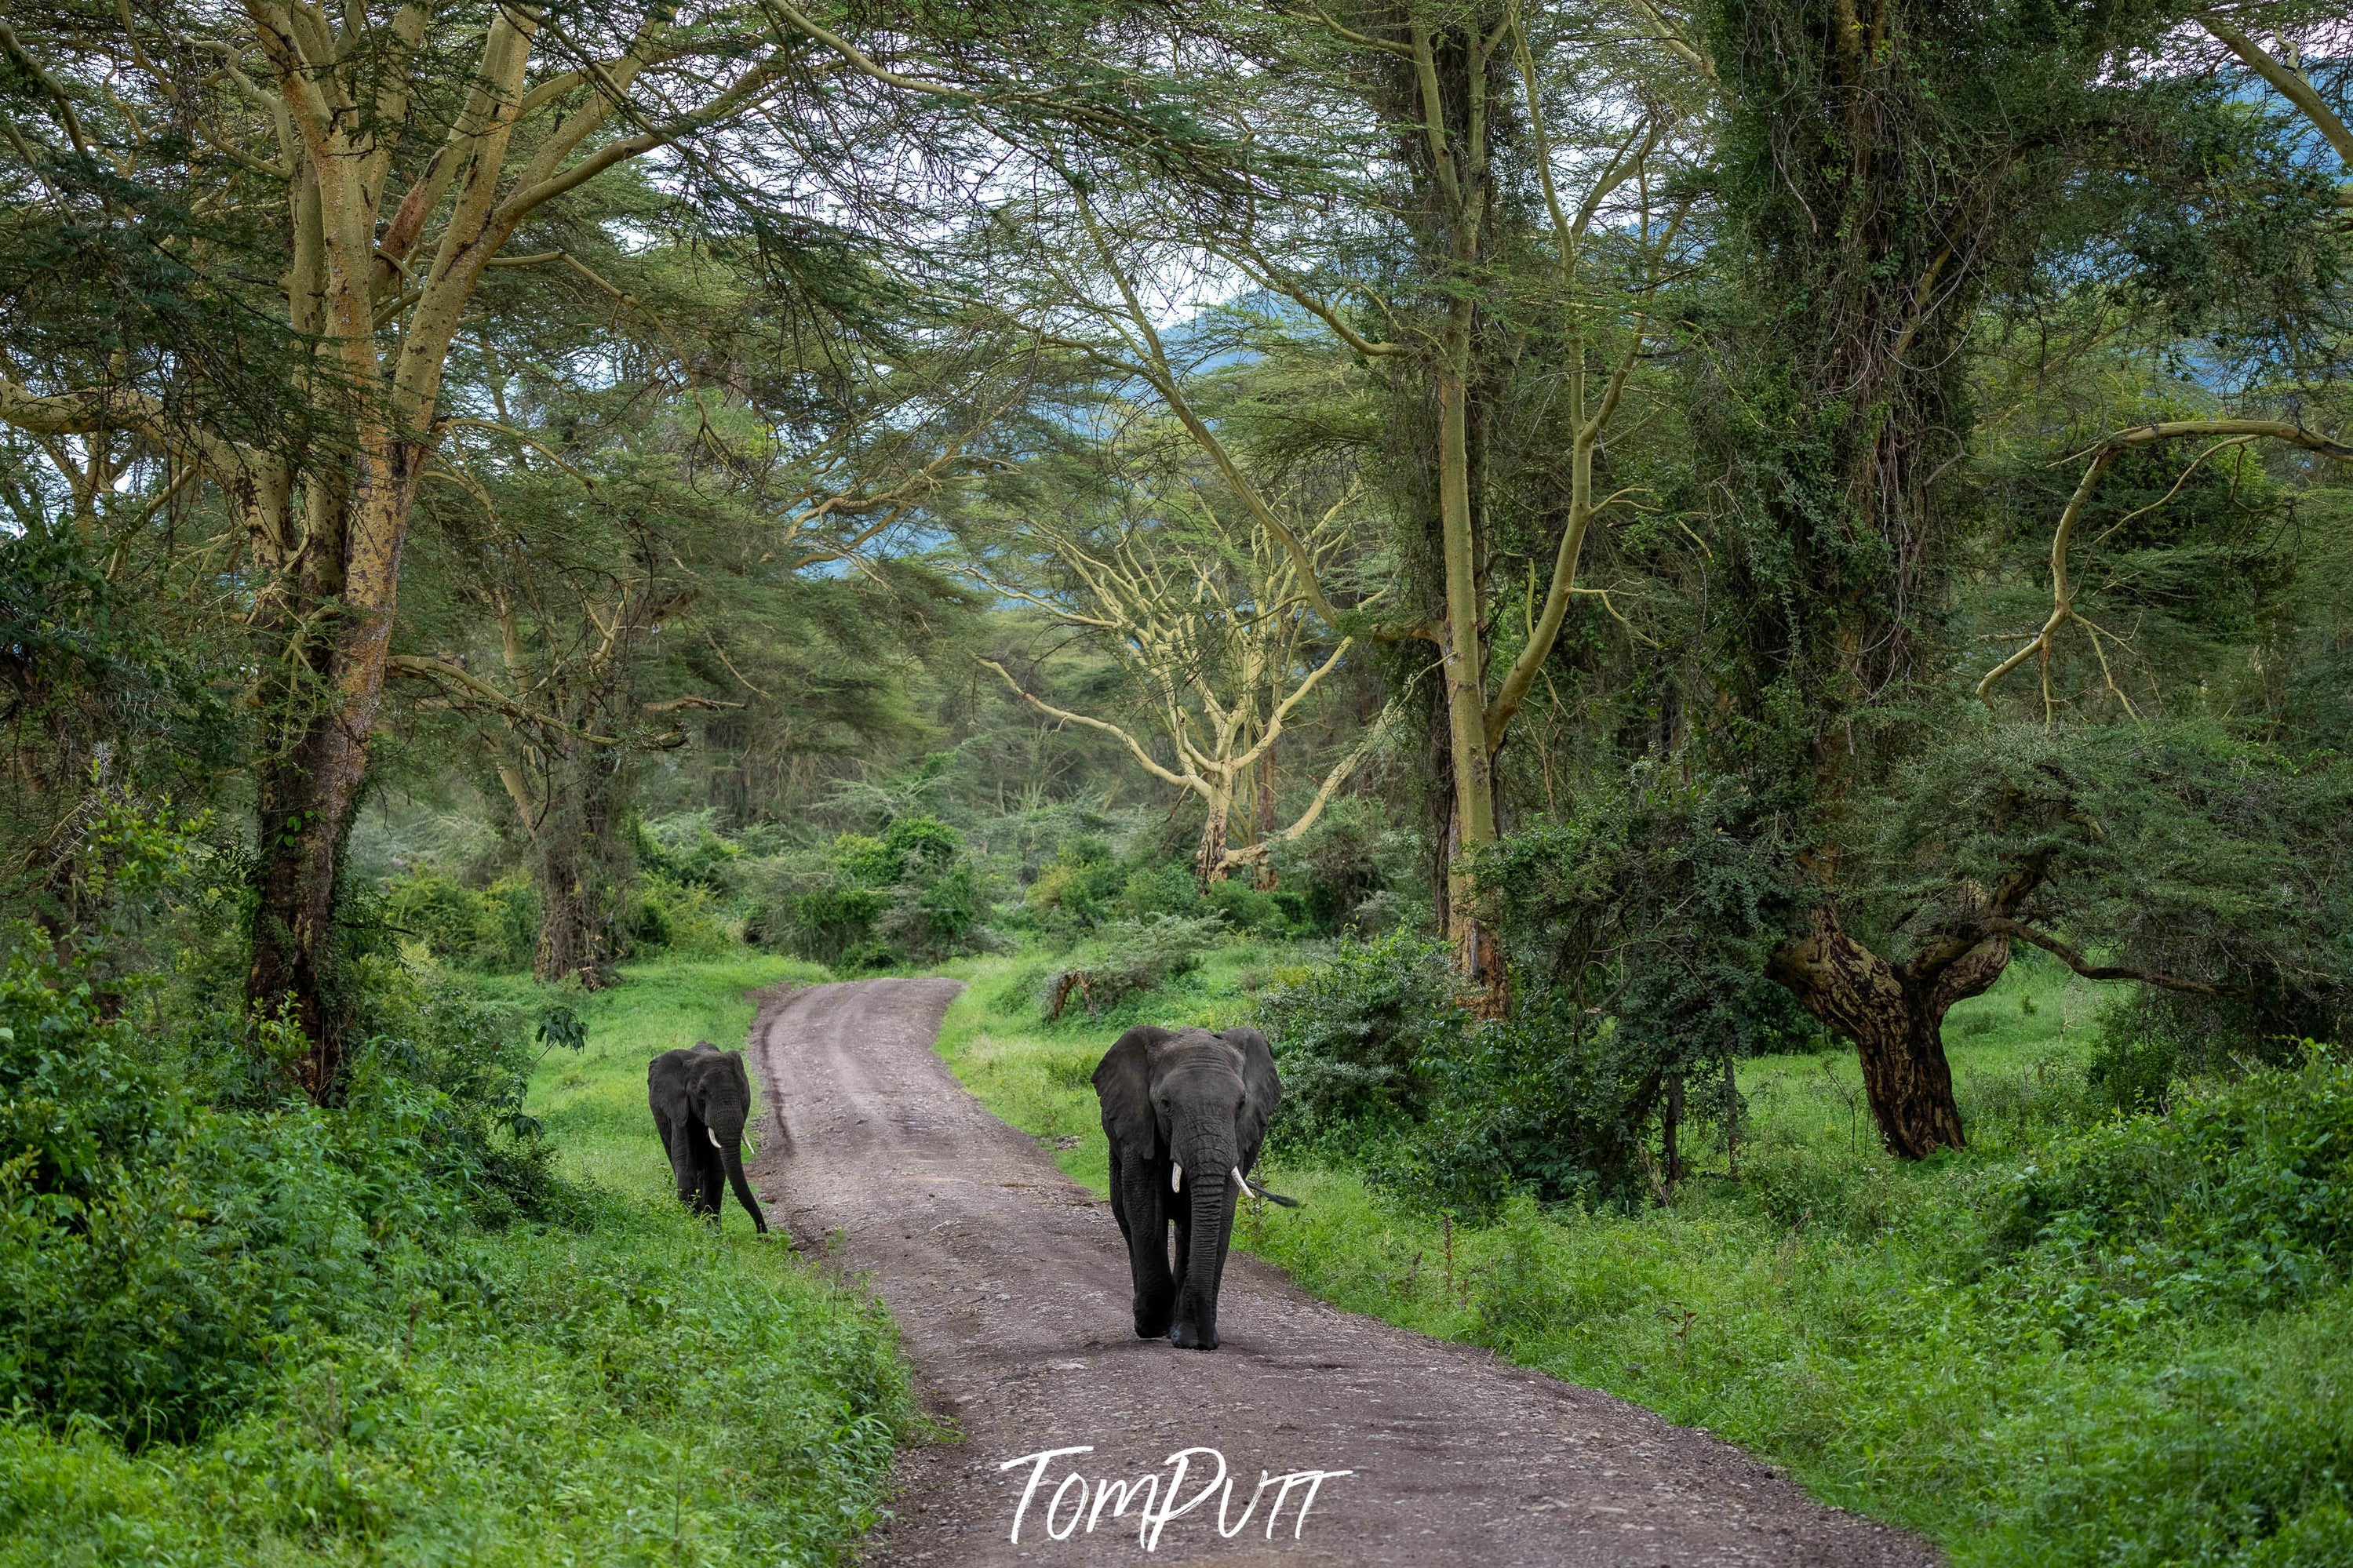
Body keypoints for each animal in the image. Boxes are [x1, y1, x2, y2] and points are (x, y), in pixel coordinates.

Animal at [644, 1043, 771, 1241]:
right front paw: (692, 1226)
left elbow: (716, 1170)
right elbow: (684, 1162)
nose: (762, 1234)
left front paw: (712, 1231)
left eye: (743, 1091)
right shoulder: (678, 1108)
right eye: (702, 1092)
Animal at [1091, 1029, 1299, 1354]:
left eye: (1241, 1105)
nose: (1206, 1344)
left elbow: (1221, 1213)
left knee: (1187, 1229)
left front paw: (1191, 1340)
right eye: (1165, 1104)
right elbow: (1145, 1209)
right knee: (1126, 1218)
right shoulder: (1139, 1127)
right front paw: (1153, 1326)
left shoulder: (1239, 1141)